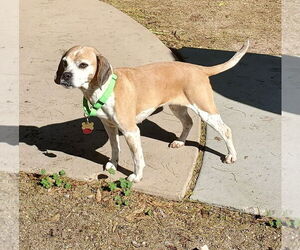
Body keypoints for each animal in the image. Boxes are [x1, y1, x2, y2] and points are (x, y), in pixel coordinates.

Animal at [55, 40, 250, 182]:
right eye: (65, 63)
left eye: (83, 65)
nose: (65, 76)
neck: (103, 89)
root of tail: (198, 68)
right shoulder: (110, 126)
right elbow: (114, 147)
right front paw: (113, 164)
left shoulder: (131, 131)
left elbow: (137, 158)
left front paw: (136, 176)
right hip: (177, 107)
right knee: (188, 122)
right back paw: (180, 142)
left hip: (206, 110)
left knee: (226, 130)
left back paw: (231, 156)